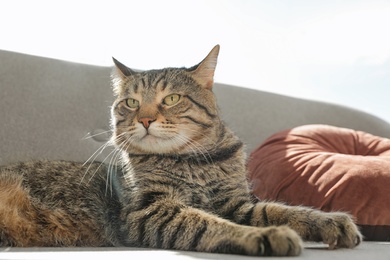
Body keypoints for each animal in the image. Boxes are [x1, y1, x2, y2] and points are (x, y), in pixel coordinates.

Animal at [0, 45, 362, 256]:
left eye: (171, 98)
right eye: (131, 103)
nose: (145, 118)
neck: (192, 162)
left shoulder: (237, 203)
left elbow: (282, 209)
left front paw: (330, 221)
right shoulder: (150, 211)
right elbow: (209, 224)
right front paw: (265, 237)